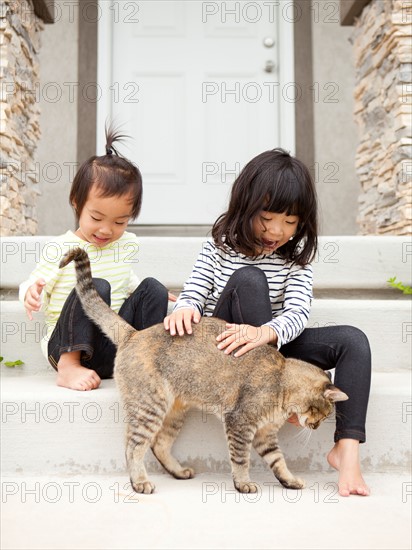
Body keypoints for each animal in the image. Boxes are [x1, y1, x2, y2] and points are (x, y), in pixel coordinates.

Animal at [58, 249, 348, 496]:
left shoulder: (265, 435)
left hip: (174, 411)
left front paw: (289, 481)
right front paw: (243, 484)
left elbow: (278, 461)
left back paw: (177, 471)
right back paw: (140, 482)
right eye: (324, 414)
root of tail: (134, 333)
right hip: (150, 406)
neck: (282, 380)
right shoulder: (240, 423)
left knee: (159, 444)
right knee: (133, 446)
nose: (316, 426)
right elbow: (241, 459)